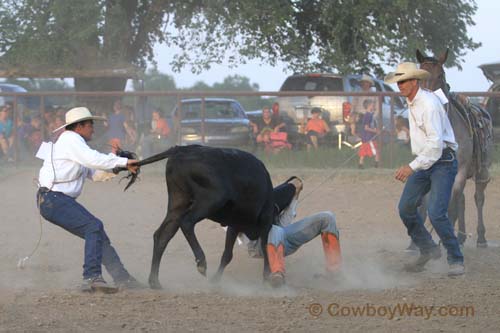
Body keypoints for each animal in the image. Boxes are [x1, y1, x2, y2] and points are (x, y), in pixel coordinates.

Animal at [416, 48, 494, 246]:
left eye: (440, 75)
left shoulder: (459, 172)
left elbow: (450, 206)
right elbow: (425, 204)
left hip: (481, 172)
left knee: (478, 198)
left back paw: (481, 238)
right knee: (463, 200)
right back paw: (460, 236)